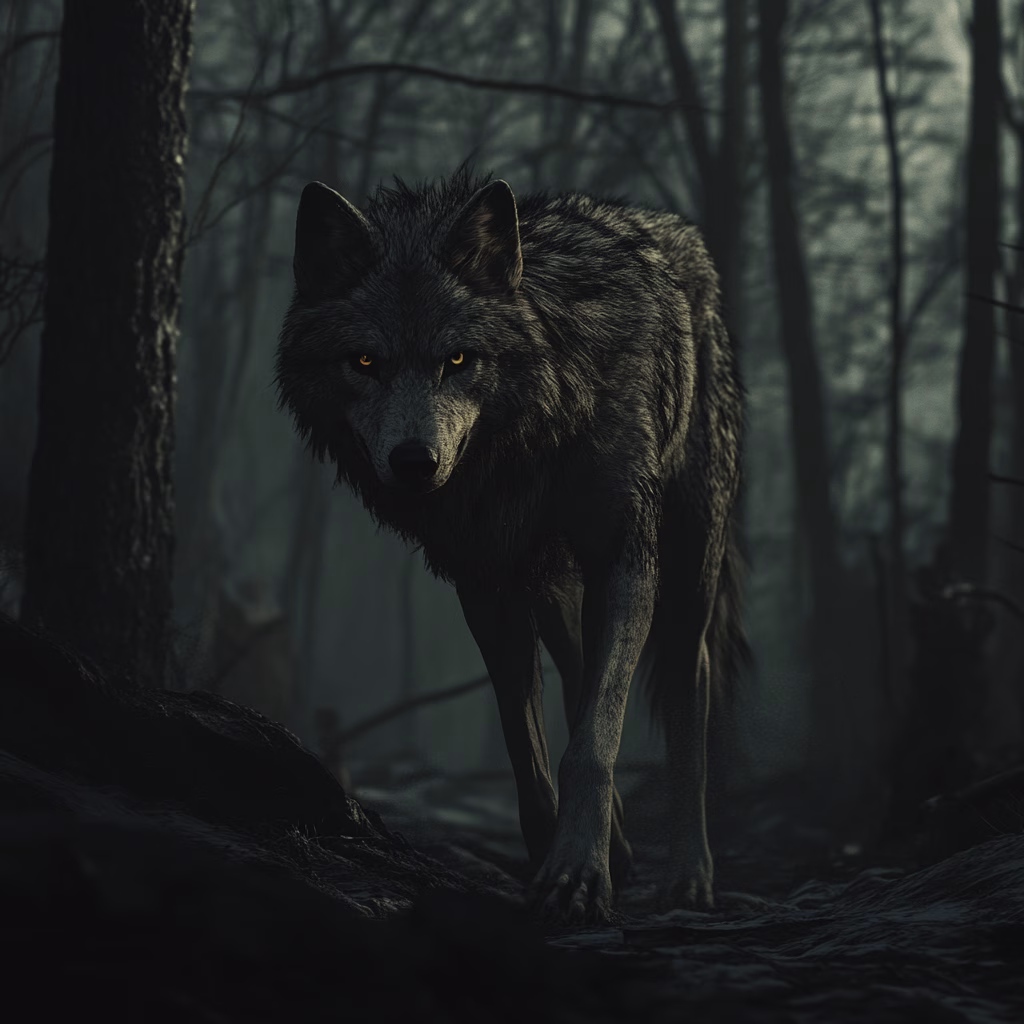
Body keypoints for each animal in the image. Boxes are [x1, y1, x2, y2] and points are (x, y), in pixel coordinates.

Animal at [276, 166, 747, 923]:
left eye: (458, 360)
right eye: (365, 361)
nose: (414, 464)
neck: (527, 444)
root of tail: (674, 230)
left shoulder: (625, 556)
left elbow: (594, 740)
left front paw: (580, 870)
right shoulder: (485, 579)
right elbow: (525, 742)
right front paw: (559, 847)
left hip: (686, 570)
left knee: (687, 685)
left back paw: (689, 875)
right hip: (552, 585)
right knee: (579, 667)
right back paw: (623, 843)